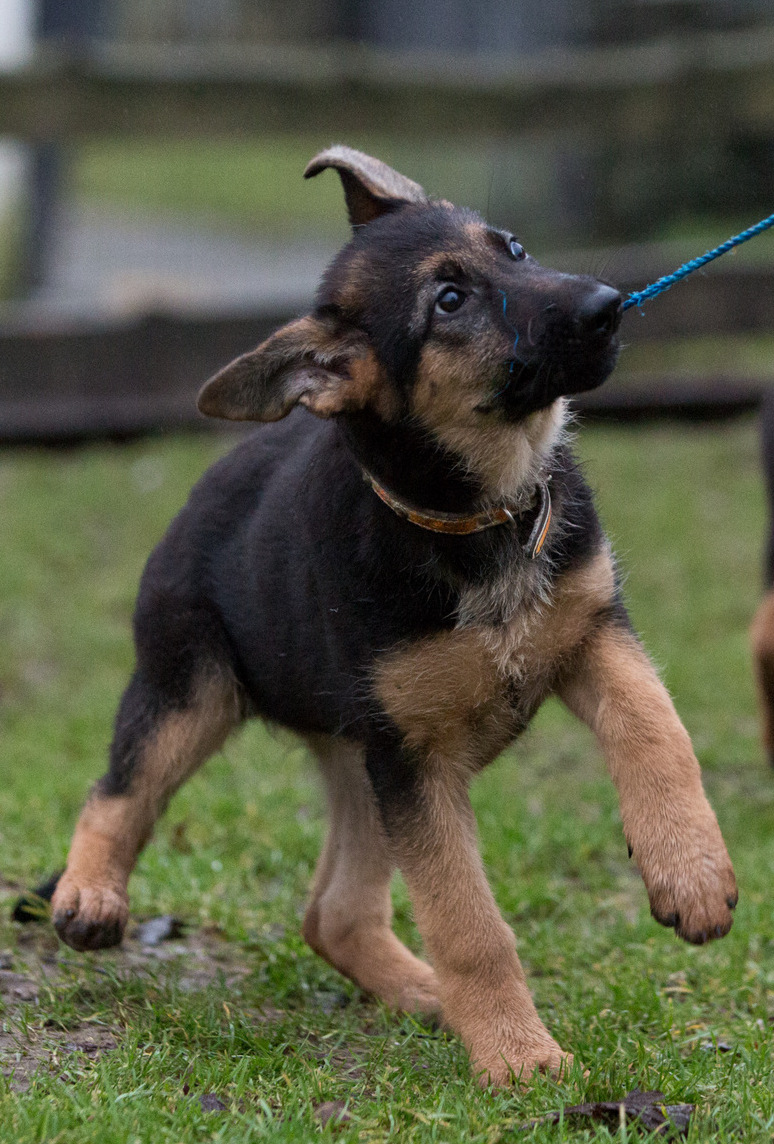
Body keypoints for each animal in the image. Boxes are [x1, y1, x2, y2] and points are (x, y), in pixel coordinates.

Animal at [49, 147, 736, 1084]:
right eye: (448, 301)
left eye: (513, 249)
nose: (607, 303)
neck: (484, 515)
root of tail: (226, 463)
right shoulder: (415, 761)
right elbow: (467, 921)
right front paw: (519, 1058)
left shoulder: (593, 632)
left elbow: (658, 729)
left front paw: (690, 873)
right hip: (193, 687)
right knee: (120, 788)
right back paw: (89, 893)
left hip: (356, 758)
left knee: (332, 911)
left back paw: (422, 993)